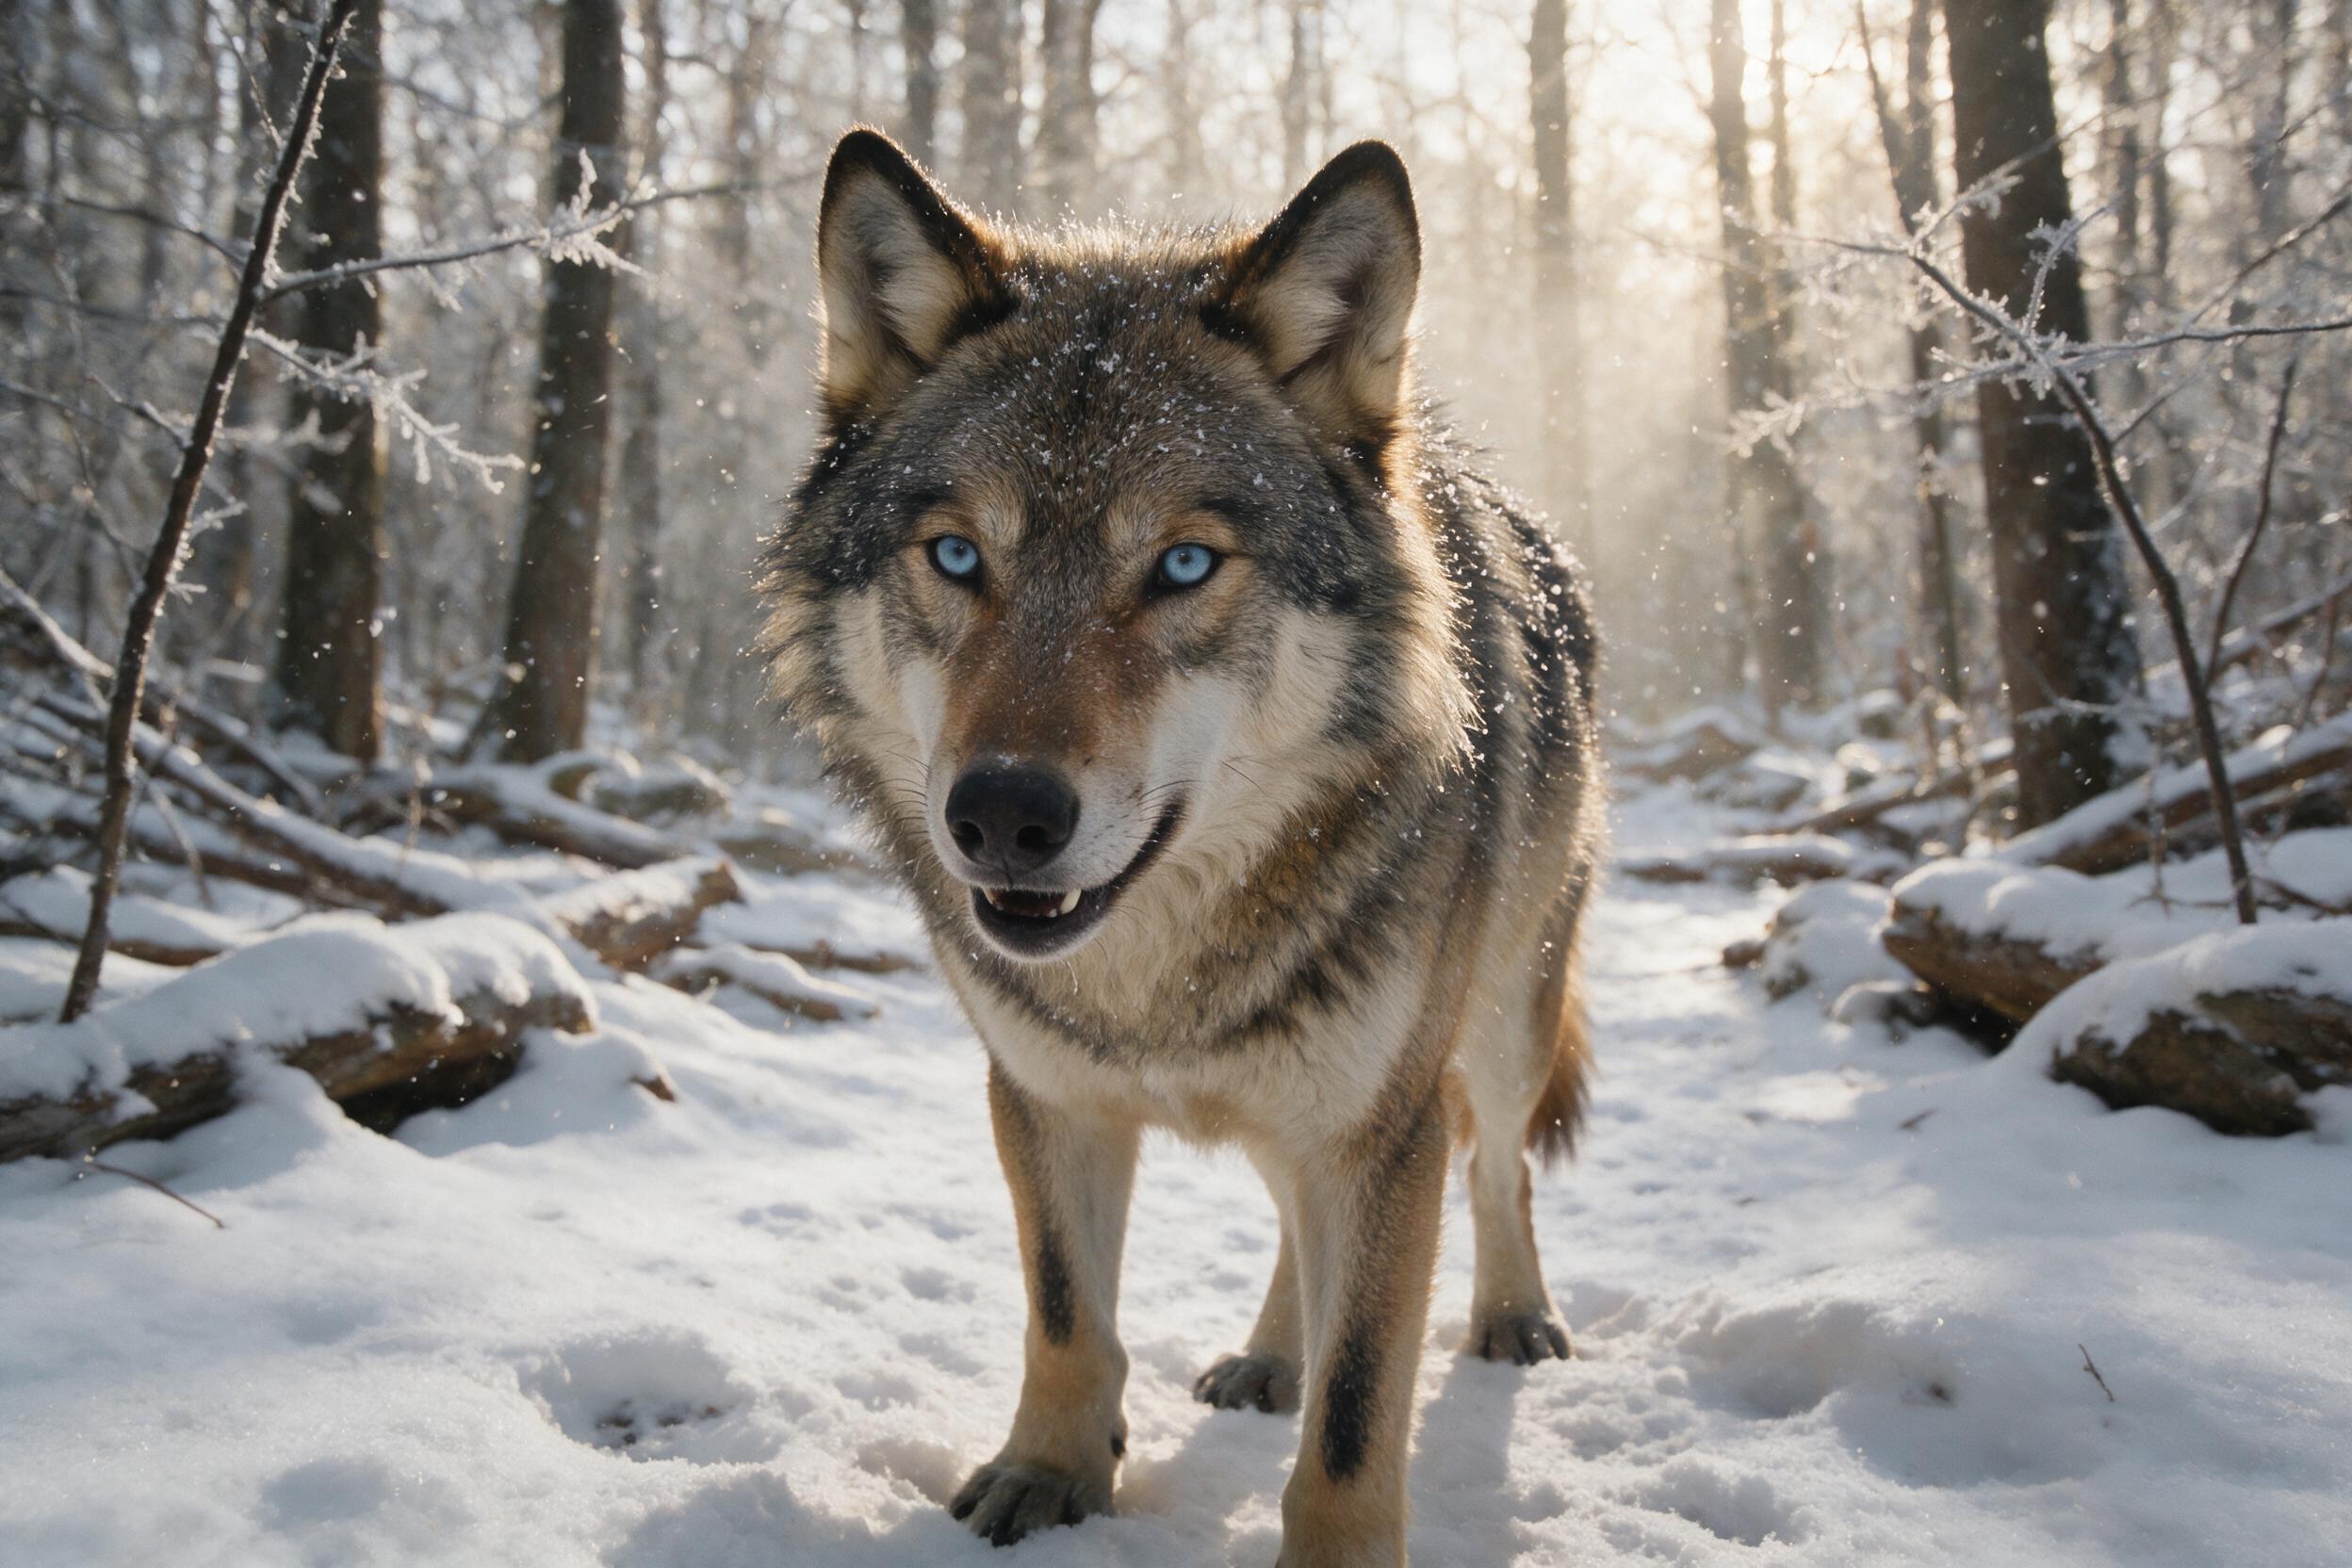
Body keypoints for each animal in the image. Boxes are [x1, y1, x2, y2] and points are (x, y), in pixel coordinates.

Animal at [762, 128, 1602, 1566]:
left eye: (1184, 566)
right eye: (956, 556)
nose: (1002, 814)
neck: (1154, 983)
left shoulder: (1379, 1132)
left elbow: (1356, 1413)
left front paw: (1335, 1548)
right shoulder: (1043, 1092)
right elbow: (1067, 1318)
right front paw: (1047, 1473)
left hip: (1497, 1021)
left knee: (1496, 1165)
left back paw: (1513, 1314)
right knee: (1292, 1232)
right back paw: (1268, 1355)